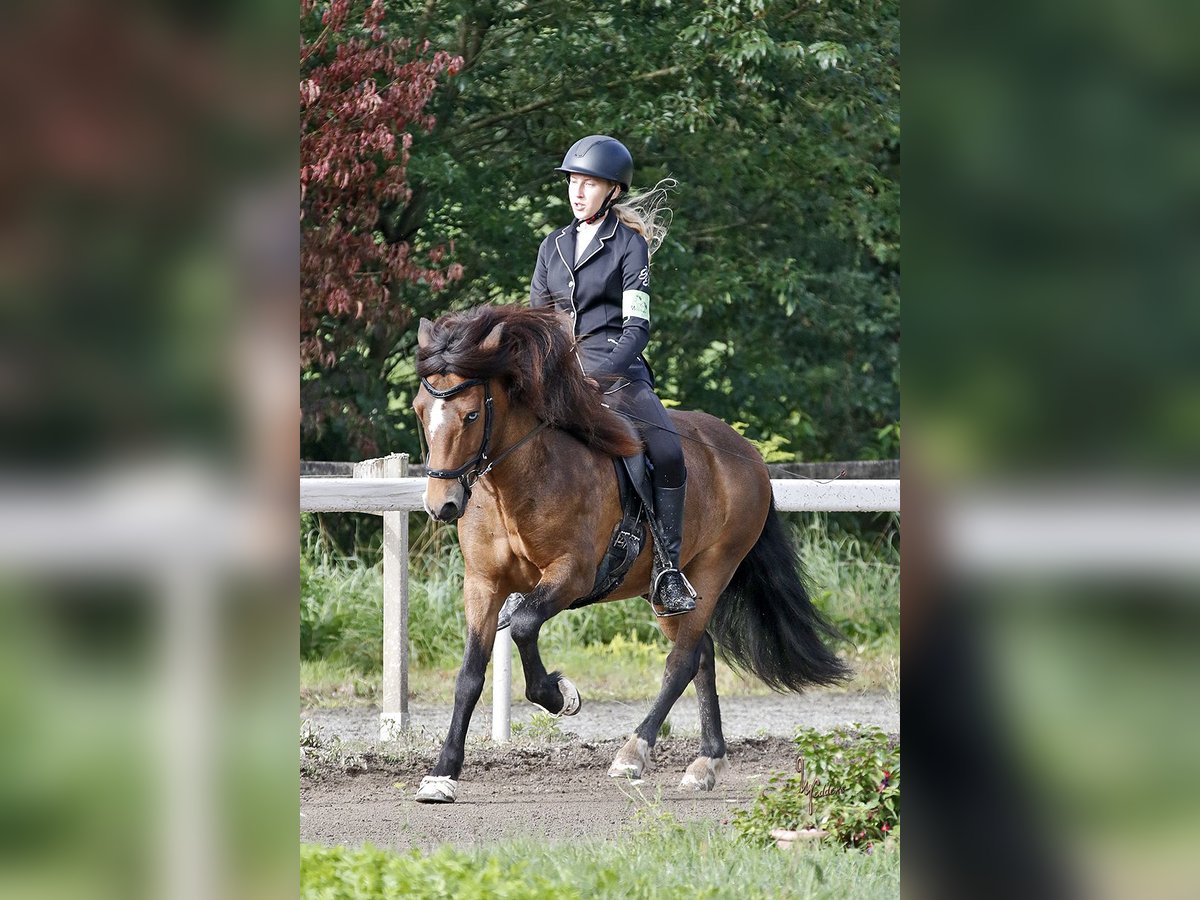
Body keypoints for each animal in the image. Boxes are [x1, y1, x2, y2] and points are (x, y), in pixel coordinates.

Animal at [411, 303, 848, 803]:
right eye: (421, 411)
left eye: (469, 416)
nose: (441, 505)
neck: (520, 479)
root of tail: (747, 452)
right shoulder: (483, 584)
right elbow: (469, 675)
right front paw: (443, 773)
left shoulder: (572, 575)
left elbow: (522, 625)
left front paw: (560, 695)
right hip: (660, 588)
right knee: (701, 652)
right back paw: (705, 762)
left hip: (714, 566)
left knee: (681, 662)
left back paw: (633, 754)